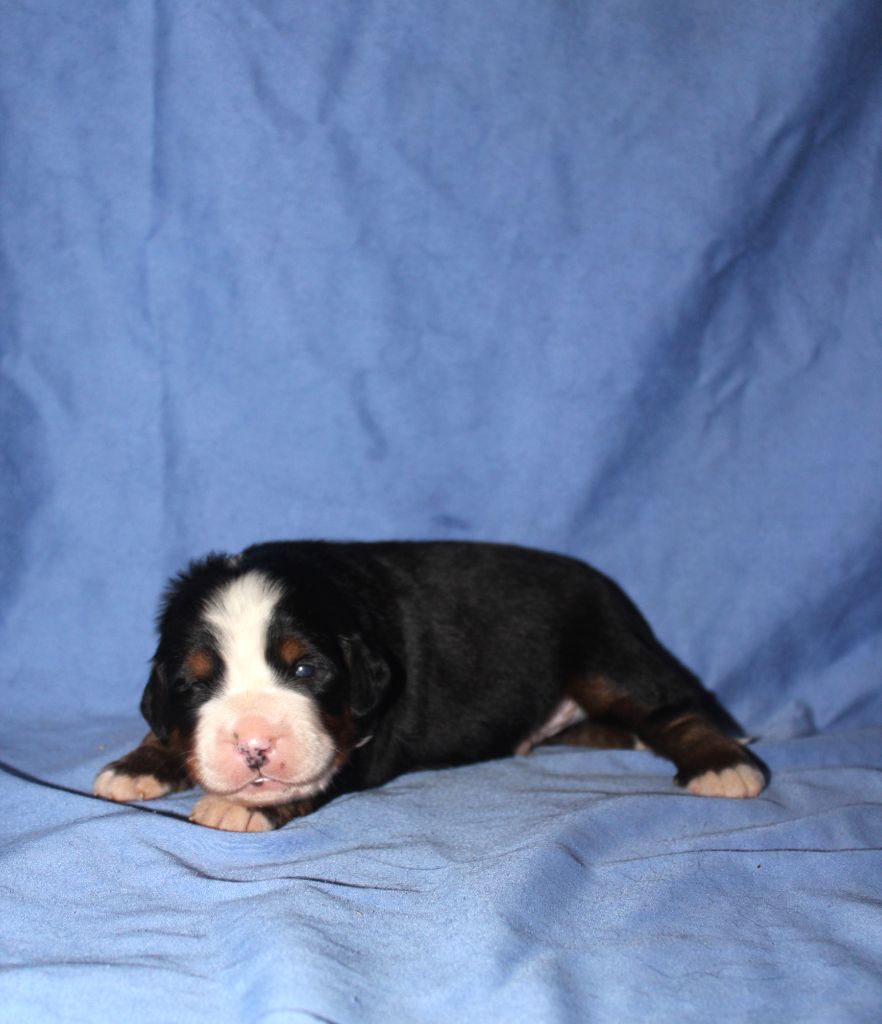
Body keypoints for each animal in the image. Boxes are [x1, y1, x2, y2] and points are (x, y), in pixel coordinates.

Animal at [93, 540, 767, 831]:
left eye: (306, 670)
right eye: (195, 685)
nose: (255, 744)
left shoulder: (364, 740)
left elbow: (314, 776)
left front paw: (237, 807)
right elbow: (164, 731)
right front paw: (137, 765)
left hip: (605, 654)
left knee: (670, 710)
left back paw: (722, 765)